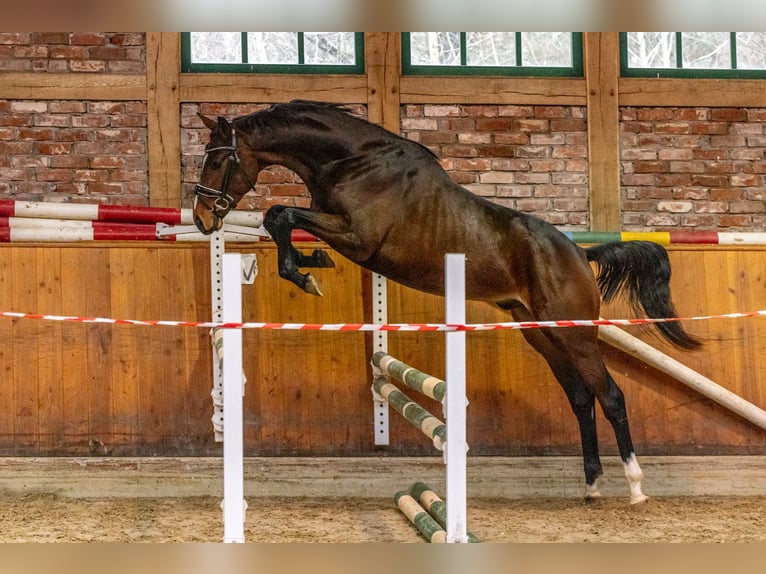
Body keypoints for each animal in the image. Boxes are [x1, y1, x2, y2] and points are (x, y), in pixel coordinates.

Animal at [195, 101, 704, 506]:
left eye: (218, 161)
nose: (201, 218)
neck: (353, 161)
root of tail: (580, 254)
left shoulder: (358, 238)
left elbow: (279, 214)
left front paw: (306, 271)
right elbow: (278, 218)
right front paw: (308, 265)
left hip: (576, 332)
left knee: (611, 396)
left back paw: (635, 488)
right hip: (542, 333)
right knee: (581, 398)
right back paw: (593, 486)